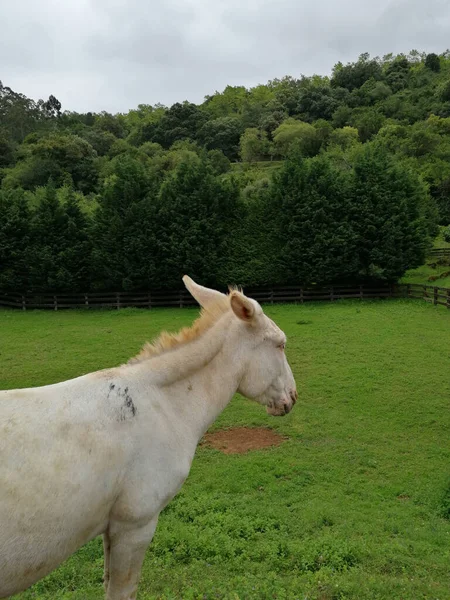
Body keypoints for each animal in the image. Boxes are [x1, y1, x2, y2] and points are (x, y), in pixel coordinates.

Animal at [0, 278, 298, 600]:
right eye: (280, 344)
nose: (292, 397)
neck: (161, 403)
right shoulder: (134, 525)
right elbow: (123, 589)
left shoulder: (112, 529)